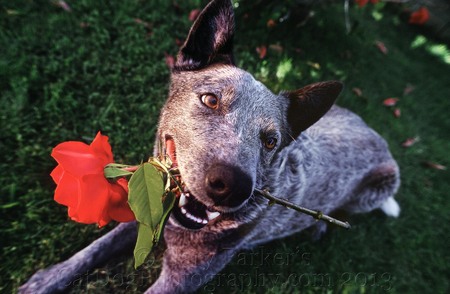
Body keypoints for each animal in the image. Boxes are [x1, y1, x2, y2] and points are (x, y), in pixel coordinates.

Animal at [21, 0, 400, 294]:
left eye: (270, 141)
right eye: (210, 99)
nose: (232, 185)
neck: (177, 223)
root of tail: (377, 135)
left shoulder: (180, 279)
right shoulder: (147, 208)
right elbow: (94, 248)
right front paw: (48, 278)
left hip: (381, 186)